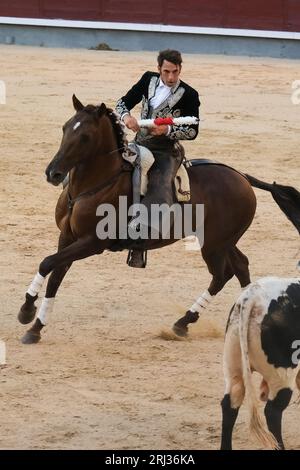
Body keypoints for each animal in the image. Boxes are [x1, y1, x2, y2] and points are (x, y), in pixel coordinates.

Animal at [17, 96, 300, 346]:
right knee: (240, 267)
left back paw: (186, 323)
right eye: (65, 128)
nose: (53, 173)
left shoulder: (92, 243)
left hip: (214, 244)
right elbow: (55, 274)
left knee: (221, 274)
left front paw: (26, 310)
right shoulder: (67, 237)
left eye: (85, 136)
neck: (89, 187)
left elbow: (47, 263)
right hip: (223, 241)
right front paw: (35, 327)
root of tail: (242, 177)